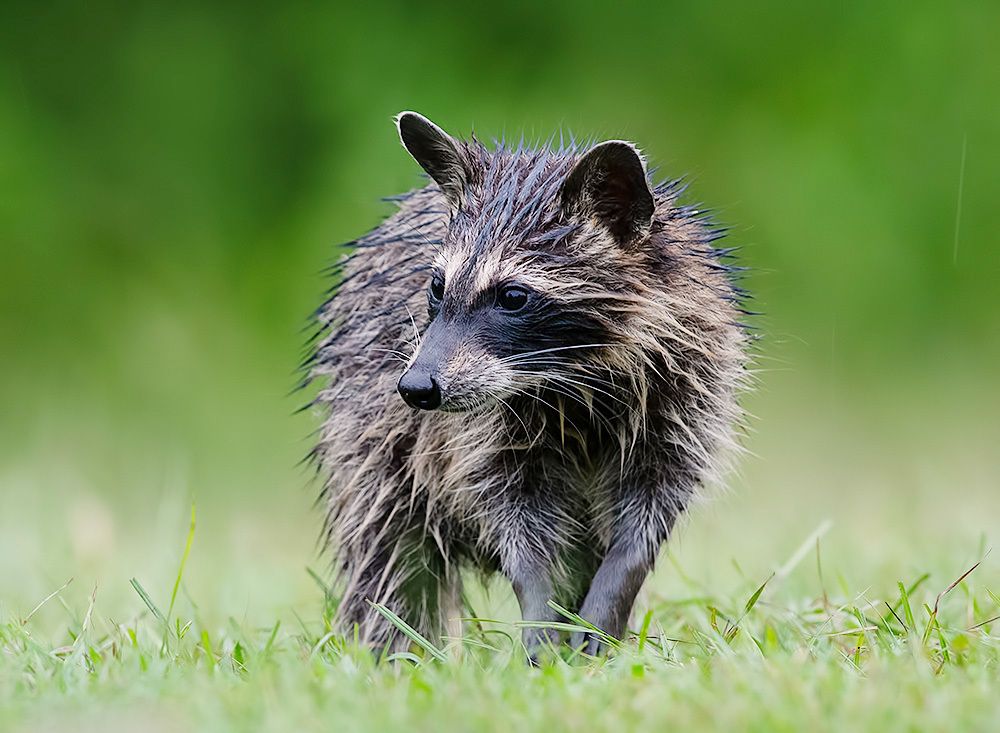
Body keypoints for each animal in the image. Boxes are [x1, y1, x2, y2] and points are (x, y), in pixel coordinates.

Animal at [306, 112, 749, 657]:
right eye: (437, 287)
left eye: (513, 296)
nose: (415, 388)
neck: (572, 377)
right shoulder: (478, 434)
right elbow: (517, 524)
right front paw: (542, 616)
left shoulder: (685, 392)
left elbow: (645, 523)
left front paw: (605, 608)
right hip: (368, 435)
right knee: (389, 551)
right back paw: (395, 649)